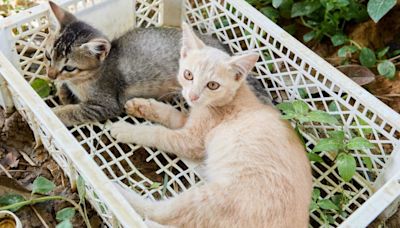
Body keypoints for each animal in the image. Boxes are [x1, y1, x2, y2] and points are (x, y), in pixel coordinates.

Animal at [44, 1, 268, 126]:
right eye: (47, 56)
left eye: (69, 67)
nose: (50, 75)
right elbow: (65, 90)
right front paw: (63, 91)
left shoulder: (106, 105)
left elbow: (75, 111)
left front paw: (56, 113)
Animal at [109, 23, 312, 228]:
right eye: (188, 75)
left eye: (213, 85)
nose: (192, 96)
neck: (233, 98)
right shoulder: (189, 121)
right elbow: (170, 114)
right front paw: (141, 106)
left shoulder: (190, 141)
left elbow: (157, 133)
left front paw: (126, 130)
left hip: (209, 199)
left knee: (159, 213)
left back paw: (119, 192)